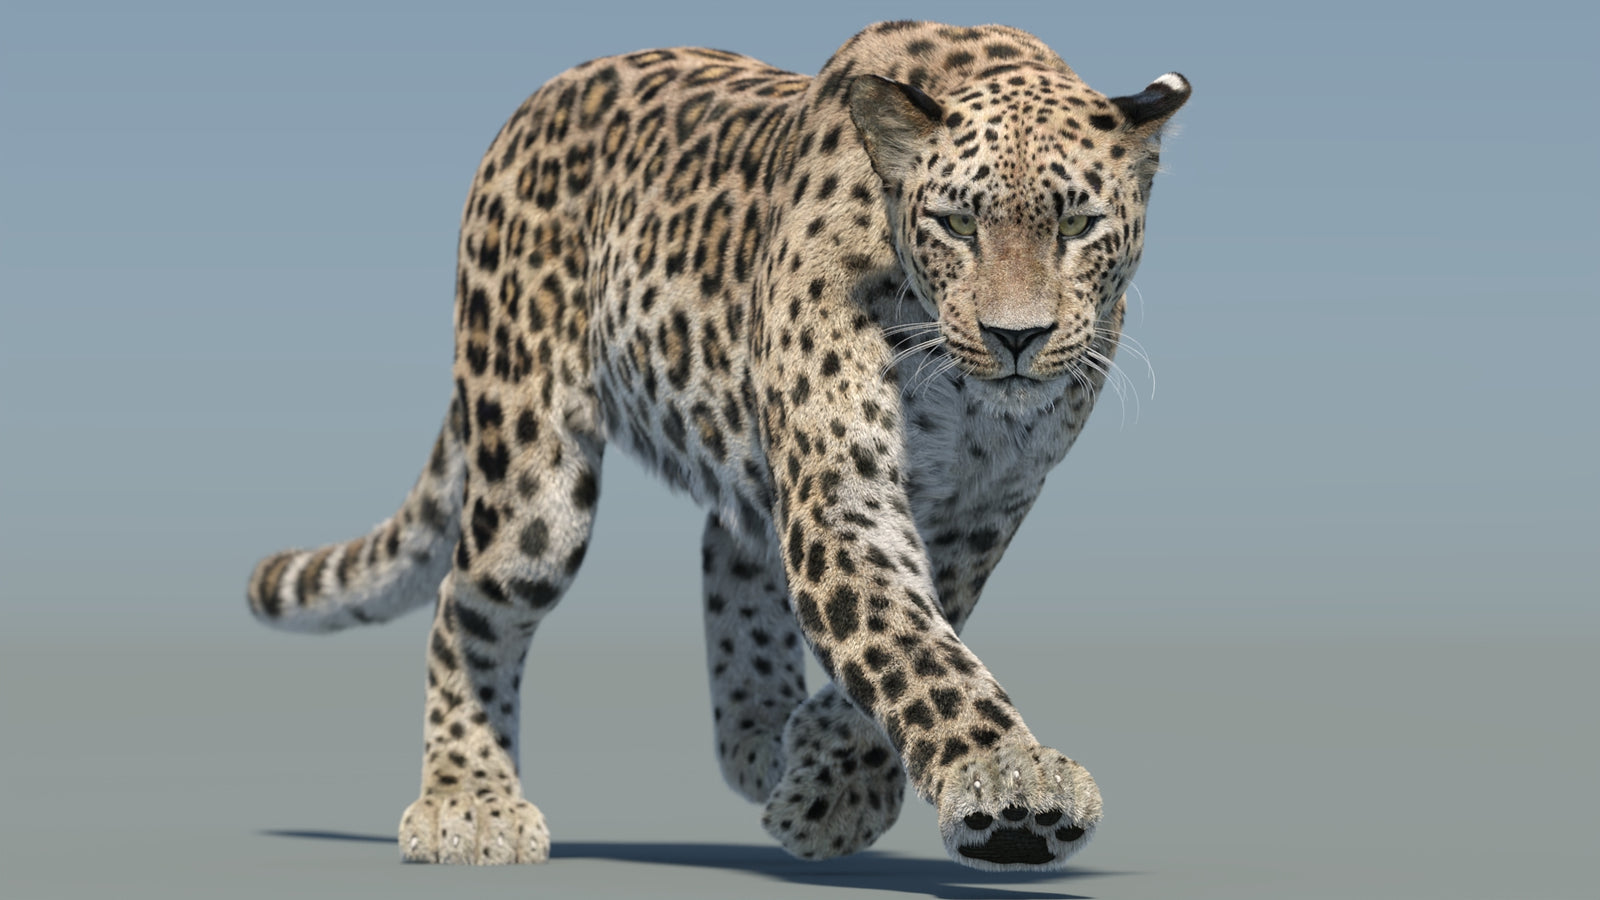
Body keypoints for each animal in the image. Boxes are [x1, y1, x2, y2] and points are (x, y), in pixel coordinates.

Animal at [247, 20, 1189, 871]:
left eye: (1079, 225)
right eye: (960, 225)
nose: (1016, 337)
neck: (967, 398)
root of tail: (534, 103)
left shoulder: (982, 511)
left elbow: (921, 628)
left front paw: (832, 781)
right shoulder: (842, 497)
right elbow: (910, 648)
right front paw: (1009, 783)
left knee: (727, 547)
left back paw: (761, 738)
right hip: (530, 475)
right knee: (465, 602)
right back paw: (468, 803)